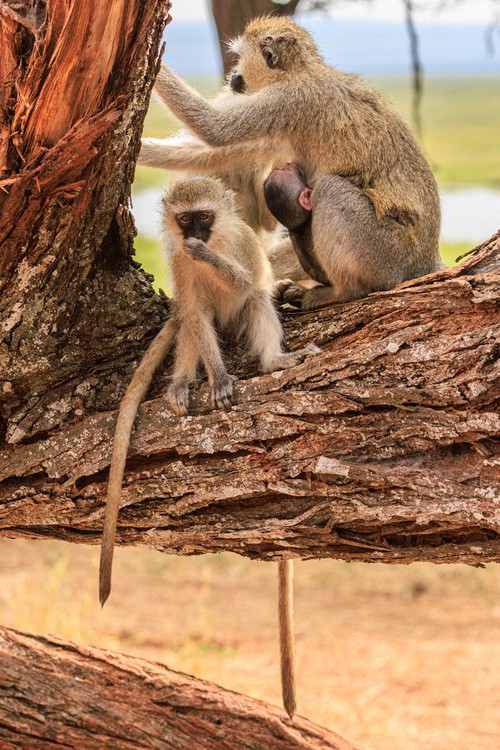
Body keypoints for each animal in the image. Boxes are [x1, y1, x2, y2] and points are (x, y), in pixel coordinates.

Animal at [100, 176, 317, 719]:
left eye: (204, 218)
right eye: (185, 220)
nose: (194, 236)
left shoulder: (237, 242)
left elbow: (247, 281)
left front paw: (214, 260)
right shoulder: (177, 260)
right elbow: (193, 309)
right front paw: (215, 379)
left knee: (255, 298)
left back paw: (274, 361)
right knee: (190, 321)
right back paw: (183, 381)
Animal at [143, 16, 443, 310]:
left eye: (239, 58)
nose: (234, 76)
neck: (299, 71)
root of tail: (426, 261)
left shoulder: (286, 100)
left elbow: (215, 128)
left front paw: (155, 56)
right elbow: (217, 152)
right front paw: (143, 151)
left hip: (386, 254)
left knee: (331, 189)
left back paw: (341, 292)